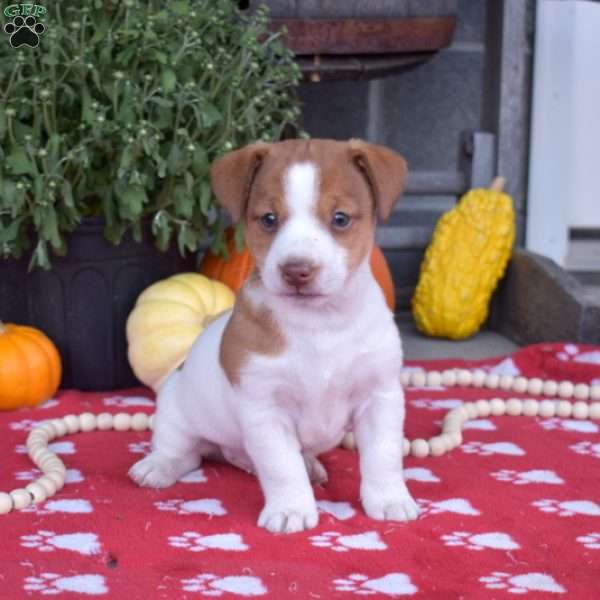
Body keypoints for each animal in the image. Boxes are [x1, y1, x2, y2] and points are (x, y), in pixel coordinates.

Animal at [130, 138, 422, 532]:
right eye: (269, 219)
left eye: (340, 219)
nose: (297, 270)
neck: (320, 324)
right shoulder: (265, 410)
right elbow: (282, 466)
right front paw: (291, 508)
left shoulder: (380, 397)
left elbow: (384, 456)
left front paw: (390, 499)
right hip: (176, 411)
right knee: (183, 452)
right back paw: (159, 466)